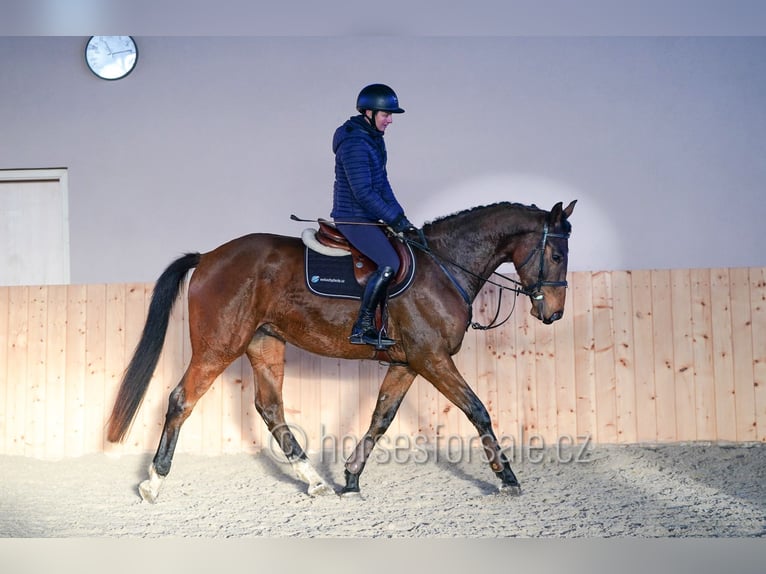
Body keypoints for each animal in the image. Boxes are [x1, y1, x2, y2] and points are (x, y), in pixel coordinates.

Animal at [107, 200, 576, 503]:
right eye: (555, 254)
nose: (553, 313)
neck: (443, 267)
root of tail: (207, 257)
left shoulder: (408, 363)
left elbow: (381, 418)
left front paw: (350, 478)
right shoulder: (433, 359)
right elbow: (477, 410)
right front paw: (508, 478)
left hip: (265, 343)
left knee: (270, 408)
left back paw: (313, 480)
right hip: (218, 346)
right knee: (180, 400)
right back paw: (153, 483)